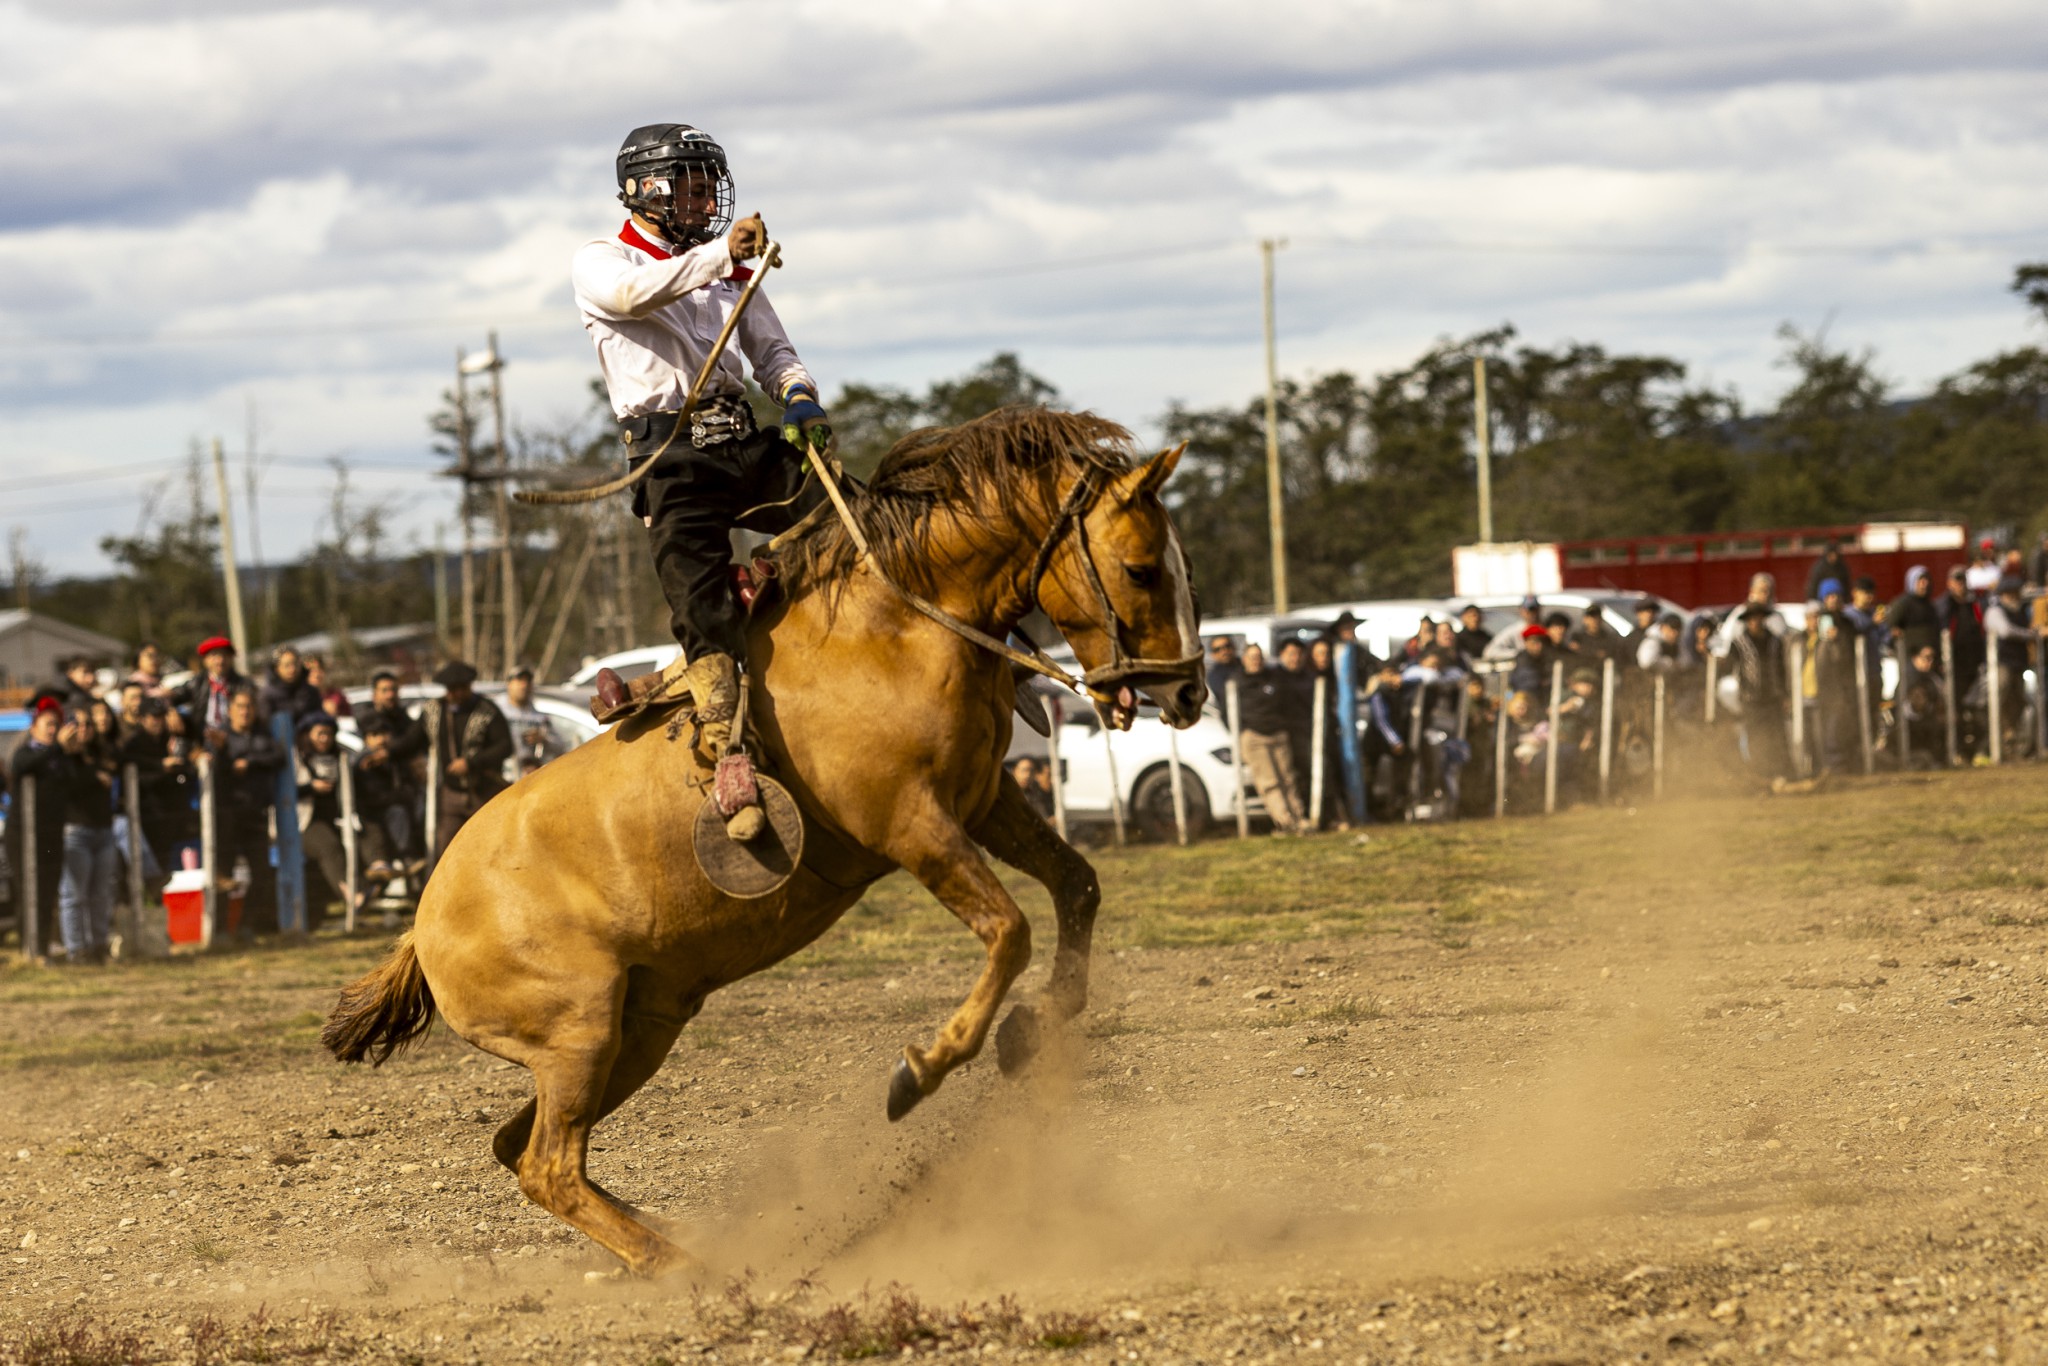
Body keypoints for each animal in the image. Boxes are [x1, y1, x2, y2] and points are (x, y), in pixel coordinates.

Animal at [321, 407, 1206, 1277]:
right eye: (1140, 569)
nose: (1189, 692)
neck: (894, 627)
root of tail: (424, 923)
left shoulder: (986, 801)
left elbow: (1077, 884)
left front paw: (1033, 1027)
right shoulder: (912, 822)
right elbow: (1009, 929)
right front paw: (922, 1069)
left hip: (637, 1030)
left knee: (521, 1150)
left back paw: (671, 1237)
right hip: (579, 1034)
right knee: (547, 1166)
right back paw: (686, 1266)